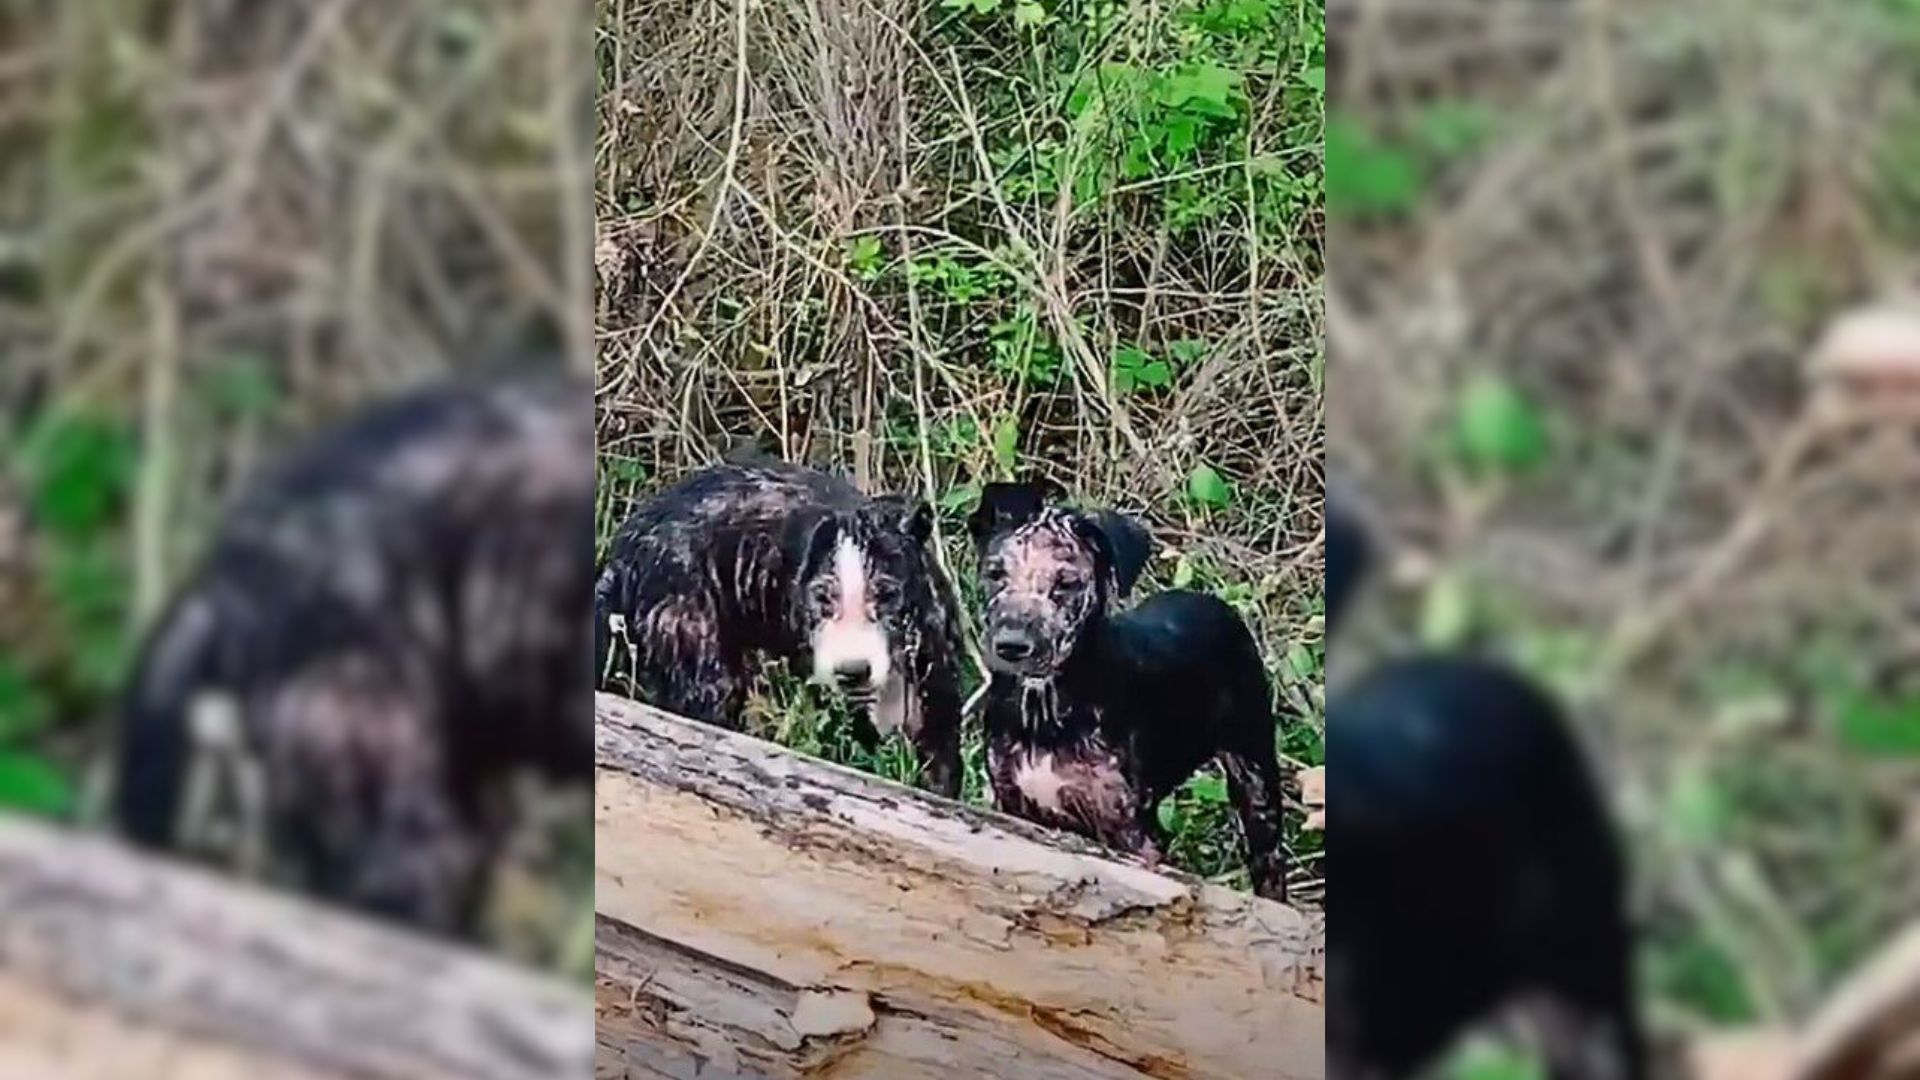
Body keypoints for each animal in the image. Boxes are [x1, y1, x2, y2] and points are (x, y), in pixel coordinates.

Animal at [591, 457, 967, 795]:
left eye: (887, 593)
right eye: (821, 597)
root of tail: (622, 554)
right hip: (699, 661)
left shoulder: (939, 695)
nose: (852, 671)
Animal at [960, 484, 1290, 895]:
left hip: (1255, 770)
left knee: (1269, 862)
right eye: (995, 573)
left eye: (1066, 583)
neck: (1046, 706)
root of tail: (1212, 601)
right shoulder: (1014, 803)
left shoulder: (1127, 826)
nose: (1011, 647)